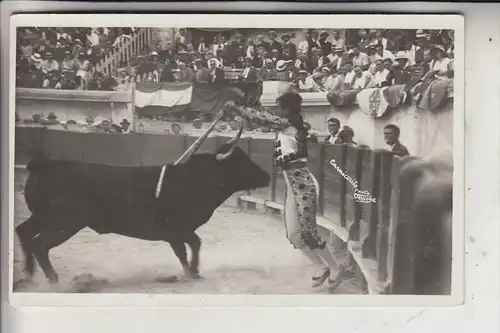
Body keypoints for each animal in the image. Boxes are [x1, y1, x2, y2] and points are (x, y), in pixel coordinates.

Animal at [15, 134, 272, 284]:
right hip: (64, 223)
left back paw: (28, 274)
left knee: (23, 232)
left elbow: (188, 247)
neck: (196, 179)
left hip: (41, 217)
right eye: (241, 162)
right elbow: (192, 245)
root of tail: (44, 165)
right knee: (40, 244)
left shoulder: (178, 232)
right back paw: (53, 278)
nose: (268, 176)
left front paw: (192, 271)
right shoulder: (177, 229)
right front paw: (192, 271)